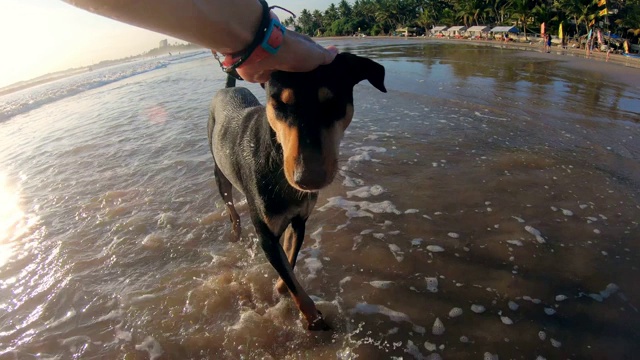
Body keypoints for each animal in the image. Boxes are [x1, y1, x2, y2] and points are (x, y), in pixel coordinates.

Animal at [208, 52, 384, 330]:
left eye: (332, 102)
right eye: (280, 104)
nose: (308, 178)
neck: (276, 155)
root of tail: (226, 90)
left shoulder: (300, 220)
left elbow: (289, 260)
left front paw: (281, 287)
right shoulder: (266, 236)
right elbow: (290, 275)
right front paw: (313, 318)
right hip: (219, 171)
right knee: (230, 205)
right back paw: (235, 230)